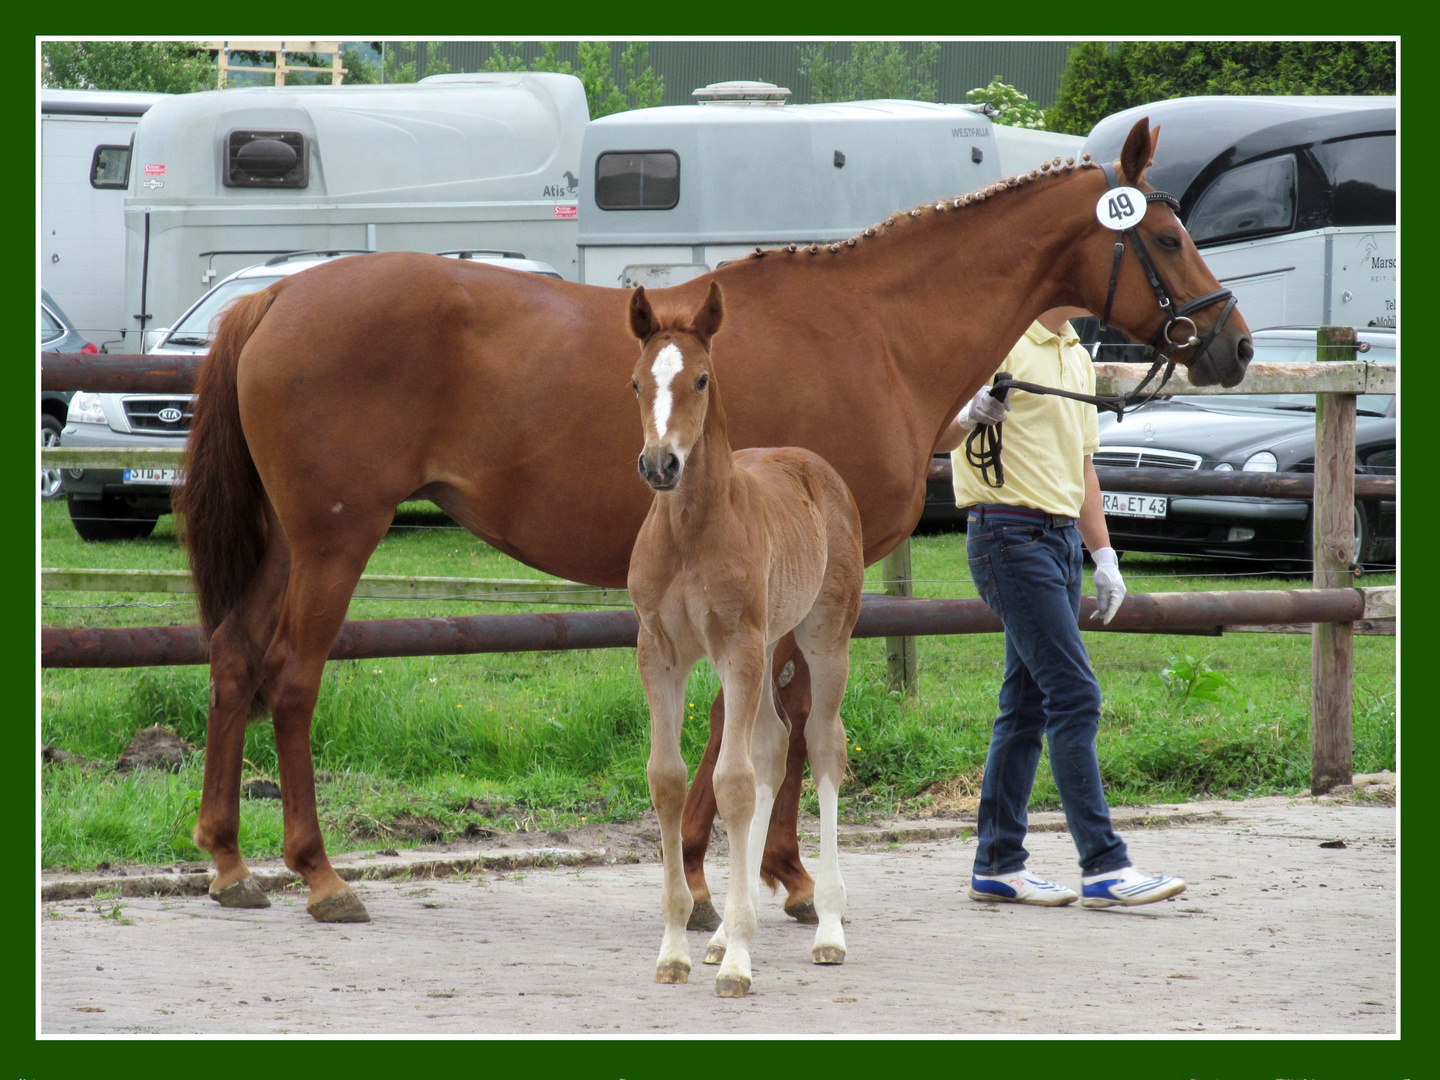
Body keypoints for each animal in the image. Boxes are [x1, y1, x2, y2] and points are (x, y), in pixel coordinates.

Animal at [624, 285, 858, 996]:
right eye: (636, 381)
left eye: (701, 378)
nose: (661, 465)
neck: (689, 532)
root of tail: (812, 462)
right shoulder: (659, 654)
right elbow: (669, 780)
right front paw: (678, 947)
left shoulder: (739, 648)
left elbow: (731, 783)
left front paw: (737, 964)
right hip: (771, 643)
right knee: (774, 745)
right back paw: (726, 931)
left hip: (822, 639)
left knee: (821, 745)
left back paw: (828, 928)